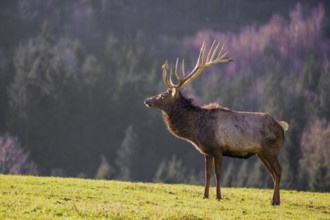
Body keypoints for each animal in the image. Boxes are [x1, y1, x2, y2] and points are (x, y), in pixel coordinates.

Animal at [143, 41, 288, 206]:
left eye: (162, 96)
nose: (147, 100)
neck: (196, 131)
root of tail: (282, 127)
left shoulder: (218, 148)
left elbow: (217, 174)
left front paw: (218, 196)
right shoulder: (207, 152)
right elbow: (207, 174)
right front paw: (204, 195)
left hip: (271, 149)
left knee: (278, 170)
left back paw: (274, 201)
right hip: (261, 152)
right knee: (273, 173)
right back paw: (275, 200)